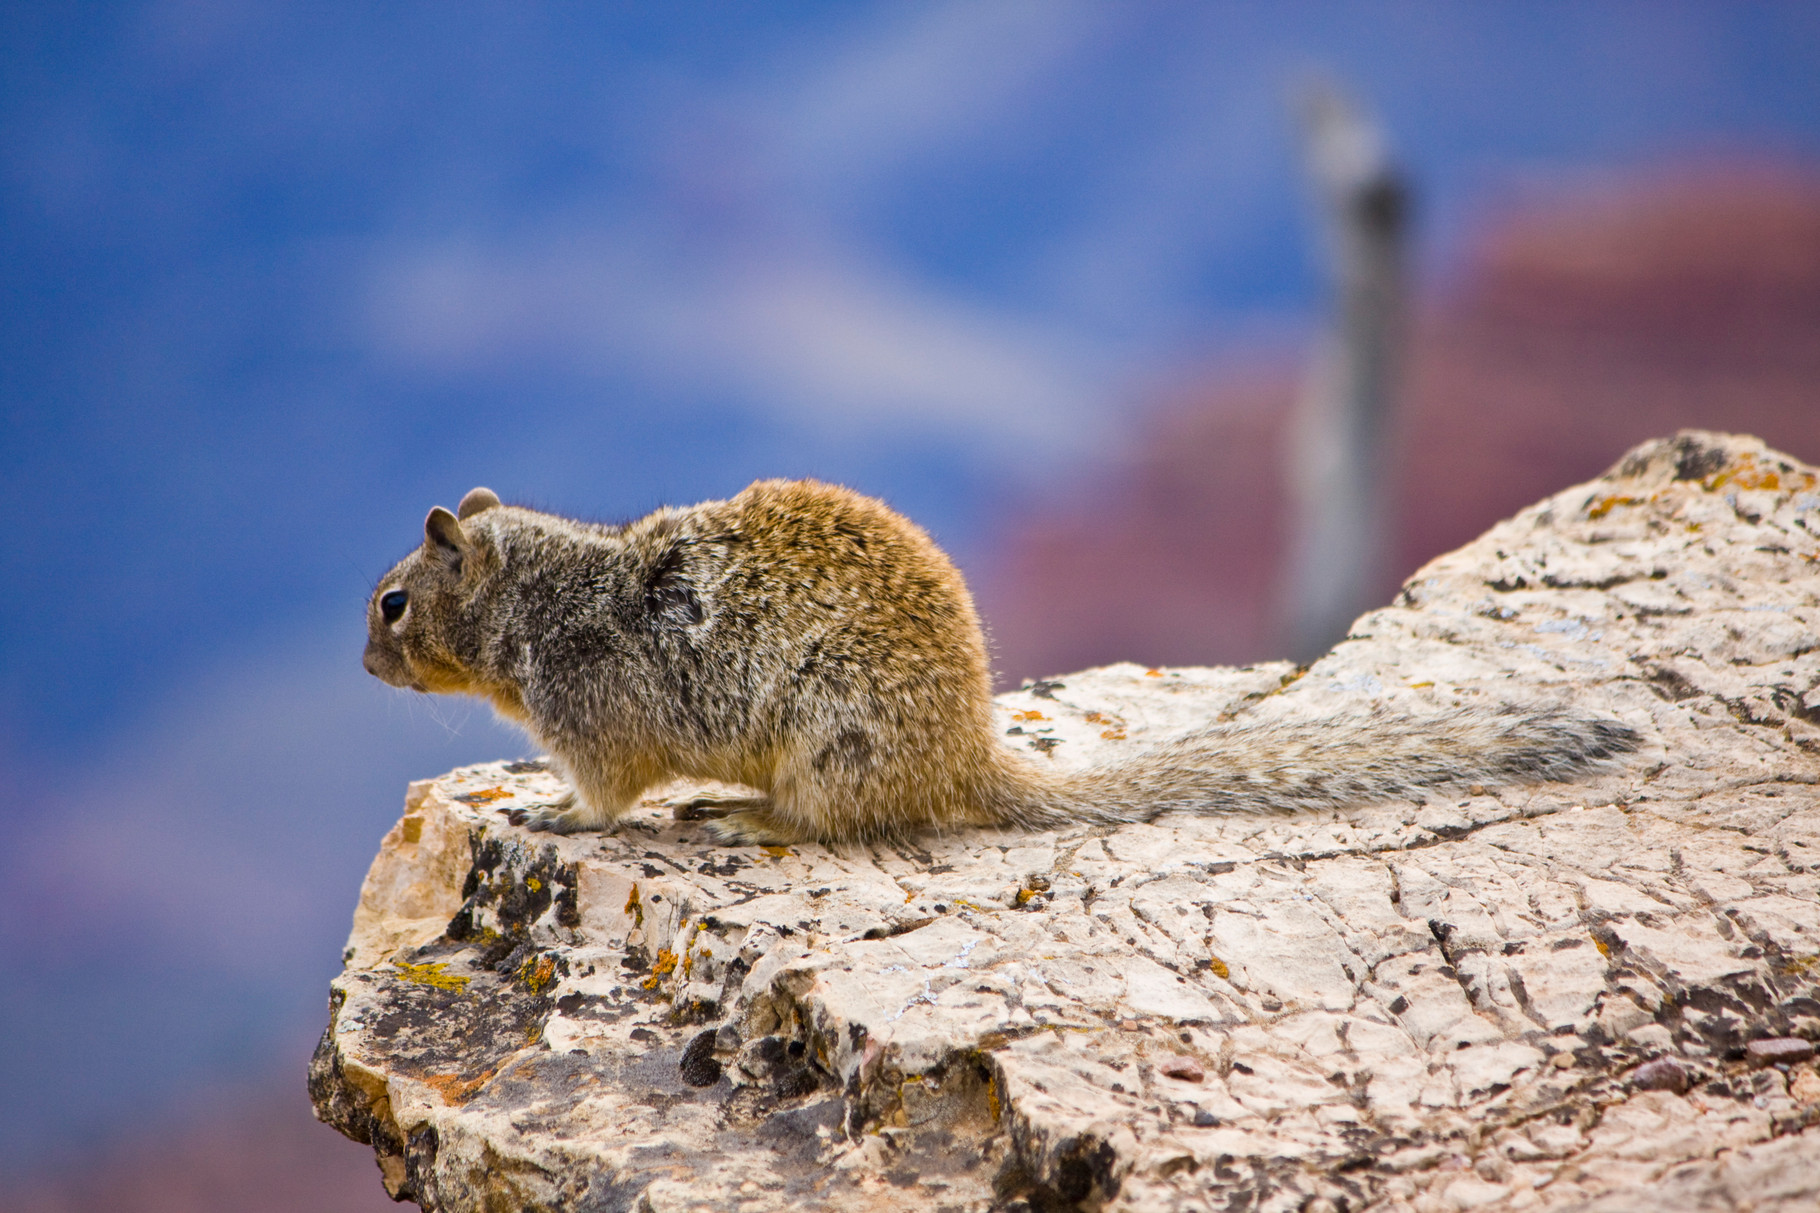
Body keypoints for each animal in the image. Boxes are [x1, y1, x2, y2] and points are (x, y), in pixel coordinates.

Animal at [362, 473, 1645, 841]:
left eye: (391, 603)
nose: (366, 668)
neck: (535, 600)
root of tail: (968, 756)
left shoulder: (590, 724)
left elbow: (601, 795)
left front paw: (551, 818)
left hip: (830, 734)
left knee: (829, 823)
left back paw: (741, 817)